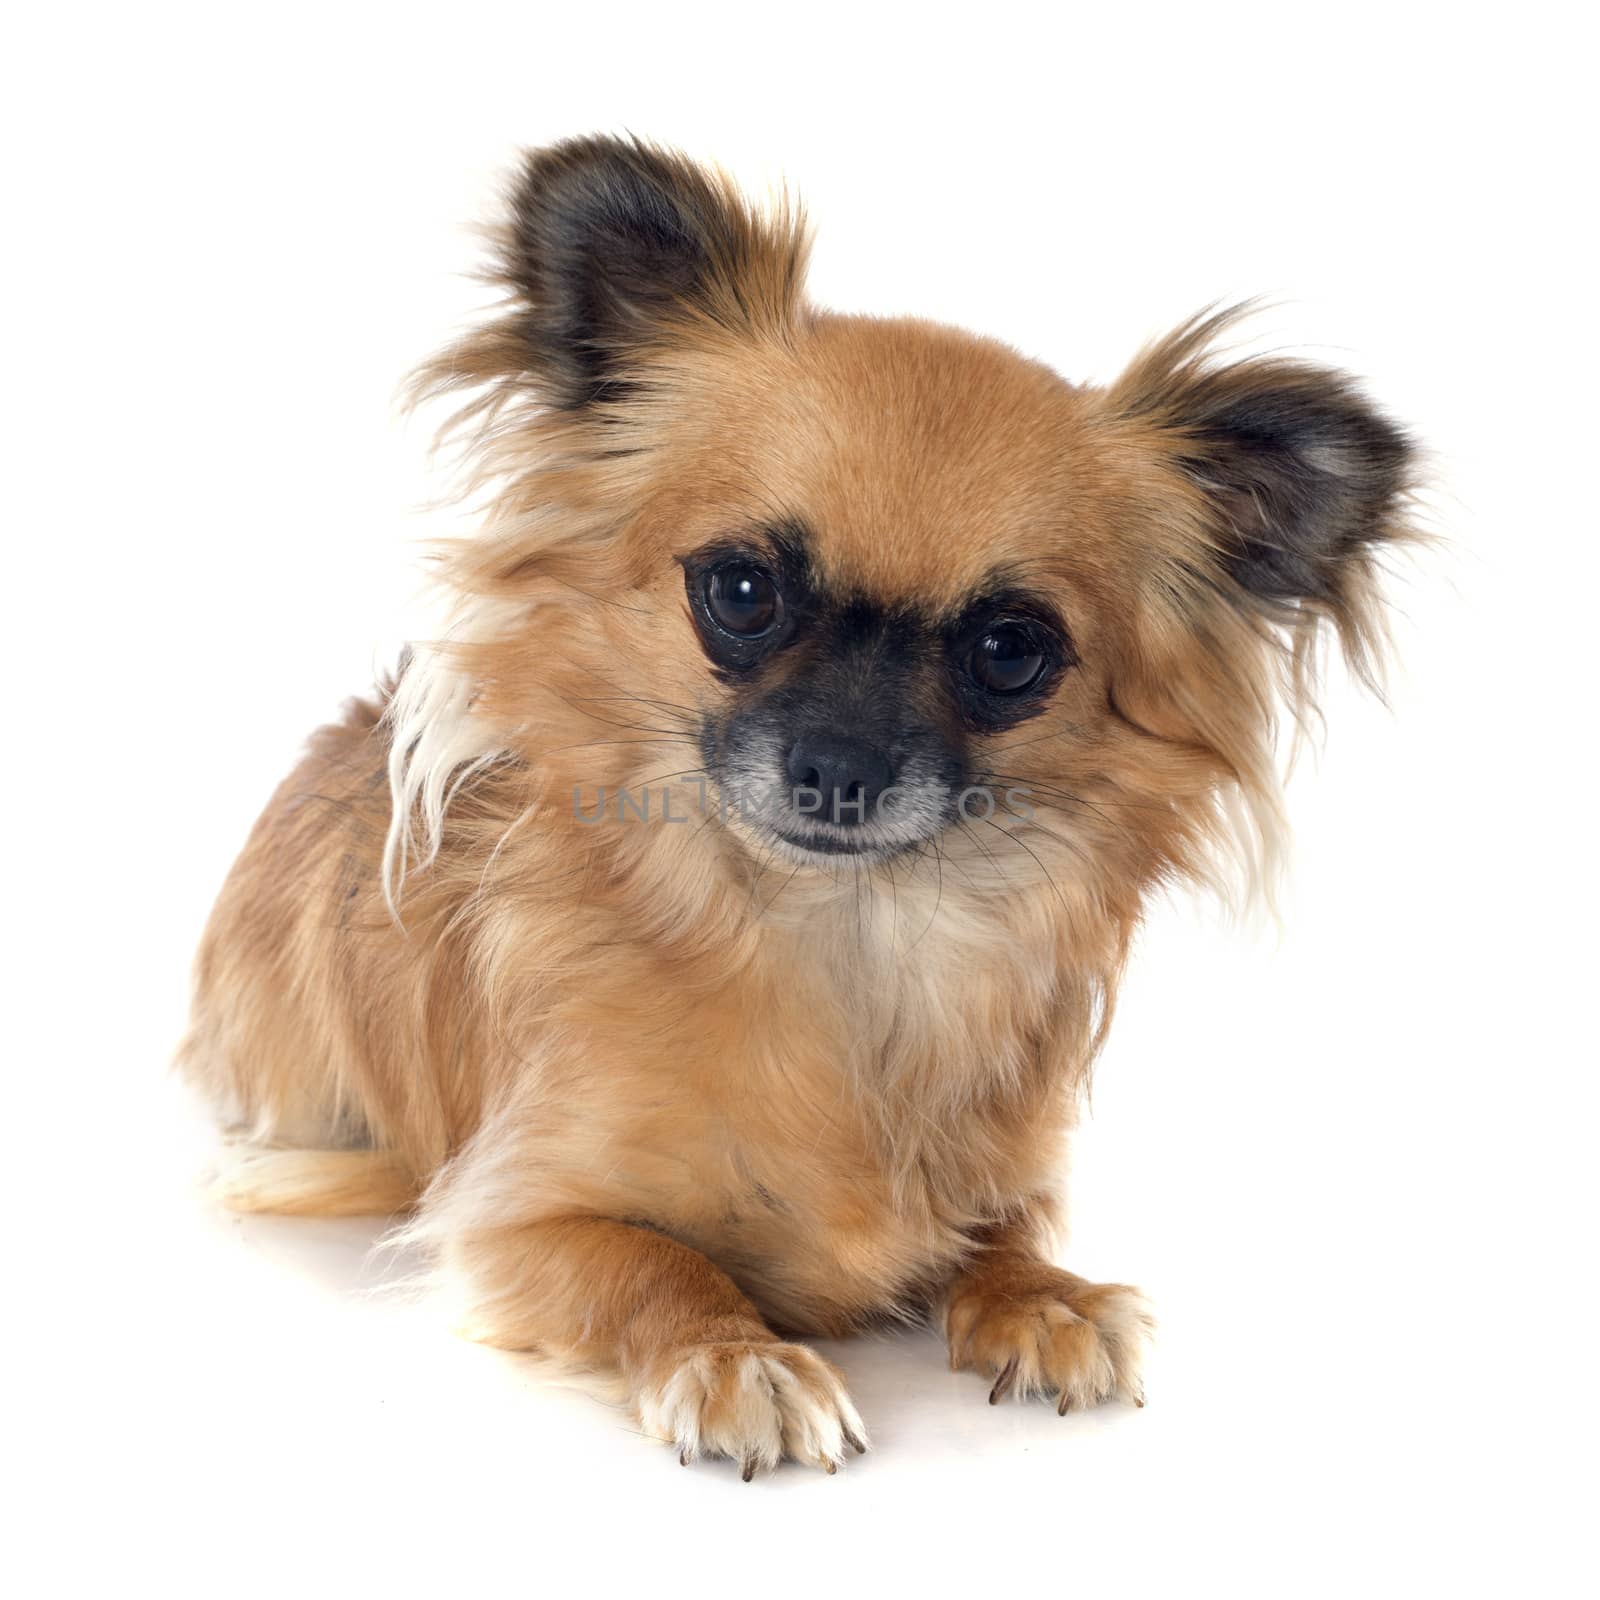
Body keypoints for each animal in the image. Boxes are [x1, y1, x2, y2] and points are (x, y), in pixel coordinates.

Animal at [181, 134, 1420, 1472]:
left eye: (1009, 650)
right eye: (740, 589)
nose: (837, 767)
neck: (846, 942)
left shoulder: (1011, 1177)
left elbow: (1003, 1236)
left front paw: (1046, 1299)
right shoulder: (514, 1217)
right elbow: (656, 1263)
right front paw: (738, 1356)